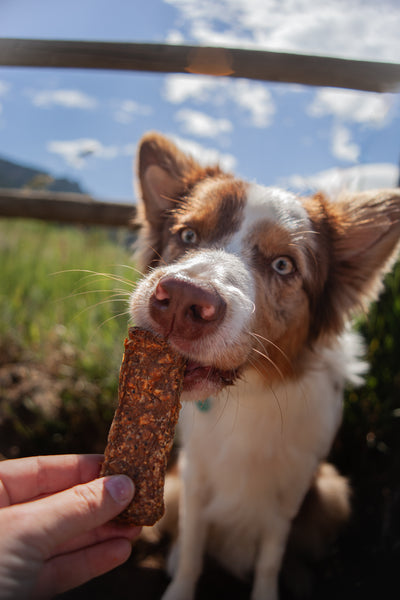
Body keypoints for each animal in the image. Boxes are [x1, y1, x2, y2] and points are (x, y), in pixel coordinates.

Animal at [130, 132, 398, 600]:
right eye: (188, 234)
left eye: (283, 264)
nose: (181, 300)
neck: (249, 393)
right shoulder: (194, 475)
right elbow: (194, 543)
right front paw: (180, 583)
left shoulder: (289, 492)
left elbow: (271, 557)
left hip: (332, 491)